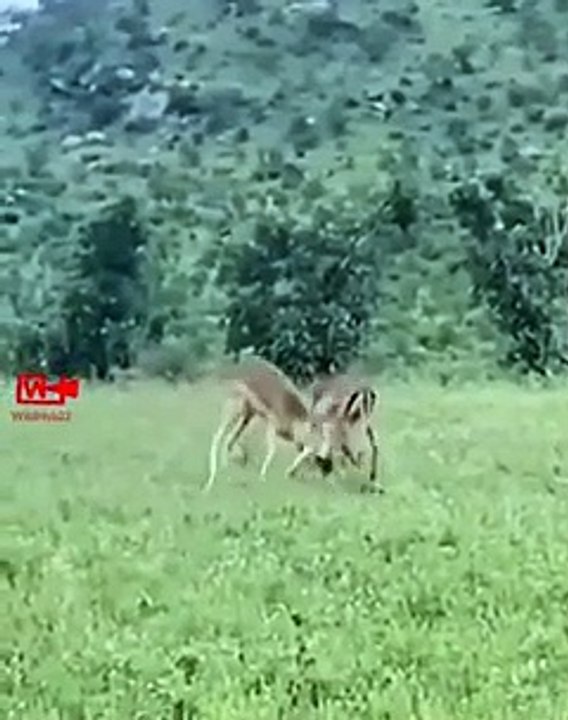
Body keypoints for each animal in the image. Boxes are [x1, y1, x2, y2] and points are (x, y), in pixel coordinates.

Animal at [205, 357, 333, 492]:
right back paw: (210, 482)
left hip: (247, 414)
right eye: (318, 459)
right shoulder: (272, 424)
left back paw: (225, 467)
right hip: (235, 409)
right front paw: (263, 476)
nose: (324, 479)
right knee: (218, 436)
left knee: (229, 439)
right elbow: (272, 450)